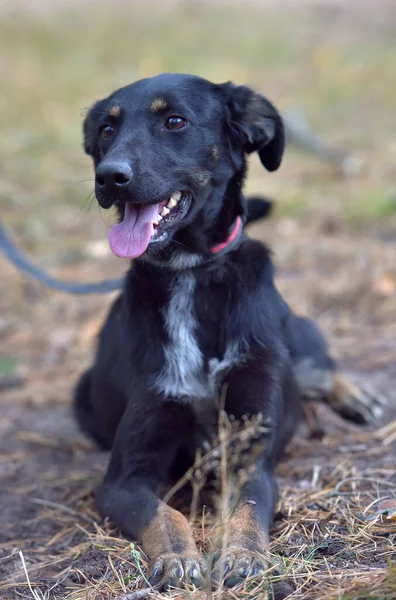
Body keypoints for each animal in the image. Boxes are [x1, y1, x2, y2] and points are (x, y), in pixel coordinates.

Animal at [72, 72, 382, 588]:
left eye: (175, 121)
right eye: (106, 130)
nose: (109, 177)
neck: (192, 272)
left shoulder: (249, 451)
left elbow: (248, 506)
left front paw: (242, 554)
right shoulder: (123, 477)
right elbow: (164, 514)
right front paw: (178, 556)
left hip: (289, 335)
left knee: (316, 359)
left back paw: (357, 395)